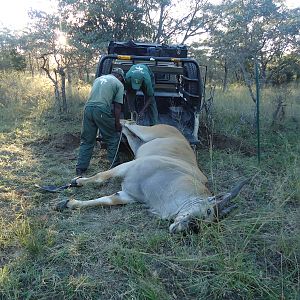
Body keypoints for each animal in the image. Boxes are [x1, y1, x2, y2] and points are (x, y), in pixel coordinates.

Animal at [56, 123, 248, 233]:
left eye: (209, 223)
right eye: (208, 211)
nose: (190, 228)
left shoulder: (127, 195)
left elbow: (106, 200)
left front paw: (68, 203)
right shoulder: (127, 166)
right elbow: (100, 177)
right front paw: (77, 181)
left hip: (138, 142)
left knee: (128, 131)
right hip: (145, 132)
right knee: (129, 123)